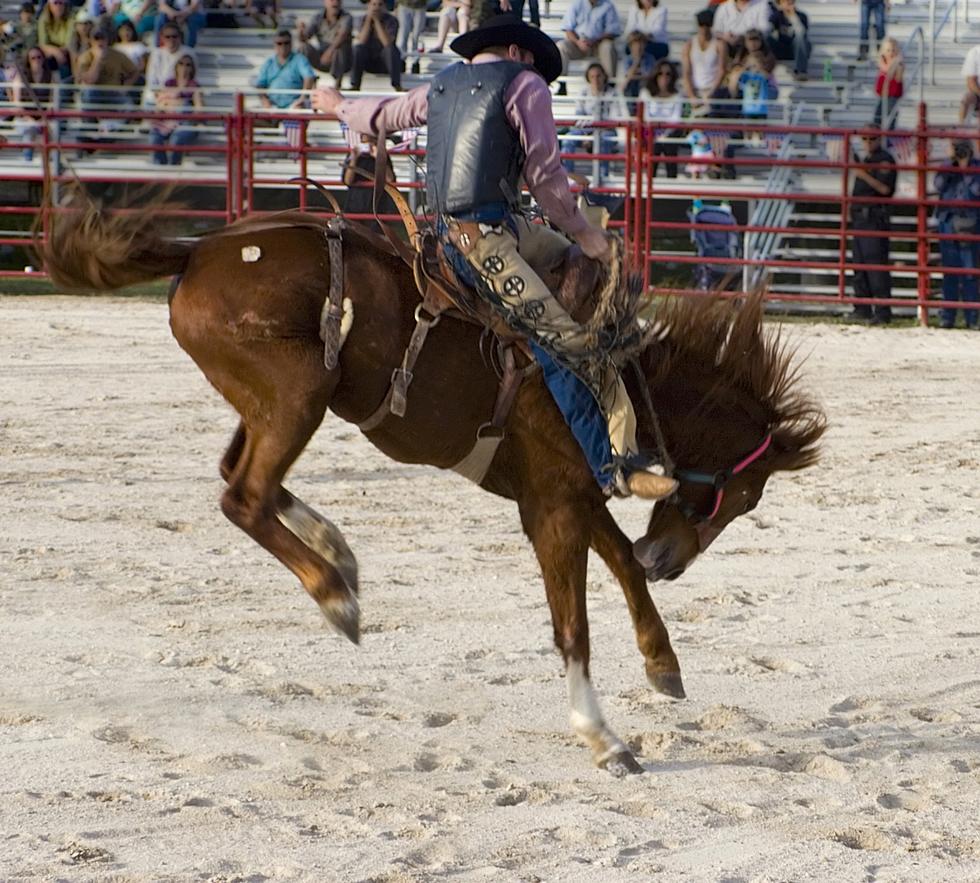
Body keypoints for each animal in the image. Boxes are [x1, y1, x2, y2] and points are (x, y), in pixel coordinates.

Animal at [44, 205, 828, 772]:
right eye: (745, 496)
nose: (672, 560)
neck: (619, 379)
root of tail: (200, 251)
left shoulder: (570, 493)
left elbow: (622, 568)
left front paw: (663, 664)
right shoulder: (552, 506)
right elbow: (572, 626)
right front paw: (604, 739)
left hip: (267, 403)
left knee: (236, 473)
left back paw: (335, 550)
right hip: (297, 398)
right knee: (244, 496)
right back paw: (335, 593)